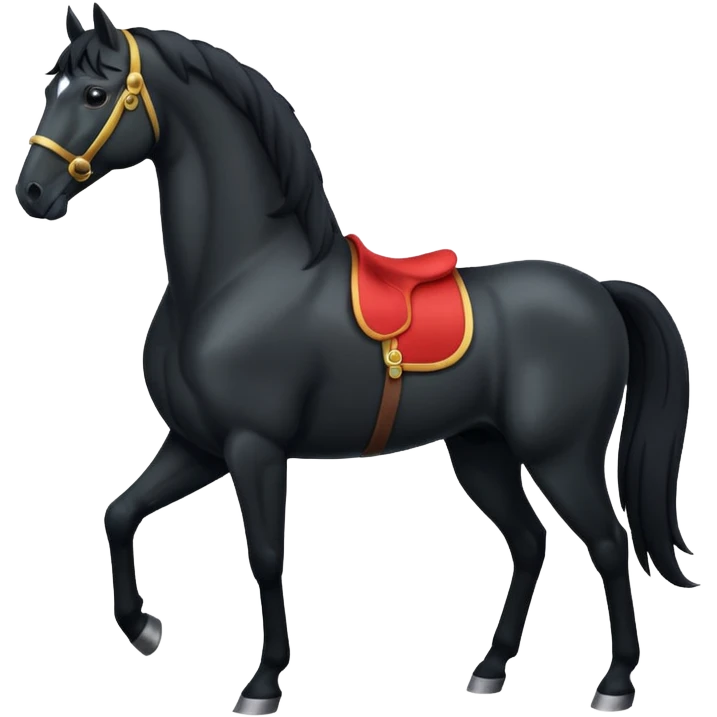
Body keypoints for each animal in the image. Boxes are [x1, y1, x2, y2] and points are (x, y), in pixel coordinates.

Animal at [16, 5, 697, 714]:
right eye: (49, 88)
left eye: (95, 95)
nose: (31, 192)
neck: (240, 276)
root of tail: (600, 291)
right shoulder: (197, 444)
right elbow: (119, 514)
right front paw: (144, 628)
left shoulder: (253, 447)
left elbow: (265, 555)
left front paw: (262, 684)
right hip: (482, 451)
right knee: (530, 542)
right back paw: (490, 668)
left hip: (562, 455)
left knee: (610, 544)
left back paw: (615, 684)